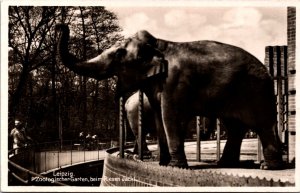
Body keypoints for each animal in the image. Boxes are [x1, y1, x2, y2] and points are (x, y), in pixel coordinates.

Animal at [56, 23, 284, 169]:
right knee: (236, 127)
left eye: (119, 53)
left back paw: (267, 167)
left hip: (257, 92)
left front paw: (176, 166)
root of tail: (266, 70)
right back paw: (226, 164)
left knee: (262, 125)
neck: (159, 44)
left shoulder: (173, 82)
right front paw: (163, 164)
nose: (60, 26)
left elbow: (169, 116)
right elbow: (160, 117)